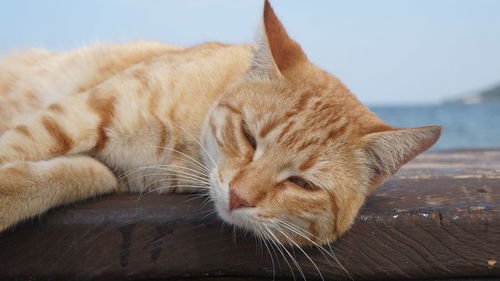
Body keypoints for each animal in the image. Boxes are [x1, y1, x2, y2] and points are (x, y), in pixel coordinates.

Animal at [0, 1, 438, 244]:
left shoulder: (109, 171)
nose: (239, 197)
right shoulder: (82, 111)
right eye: (249, 136)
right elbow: (19, 146)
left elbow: (50, 180)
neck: (184, 146)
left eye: (303, 184)